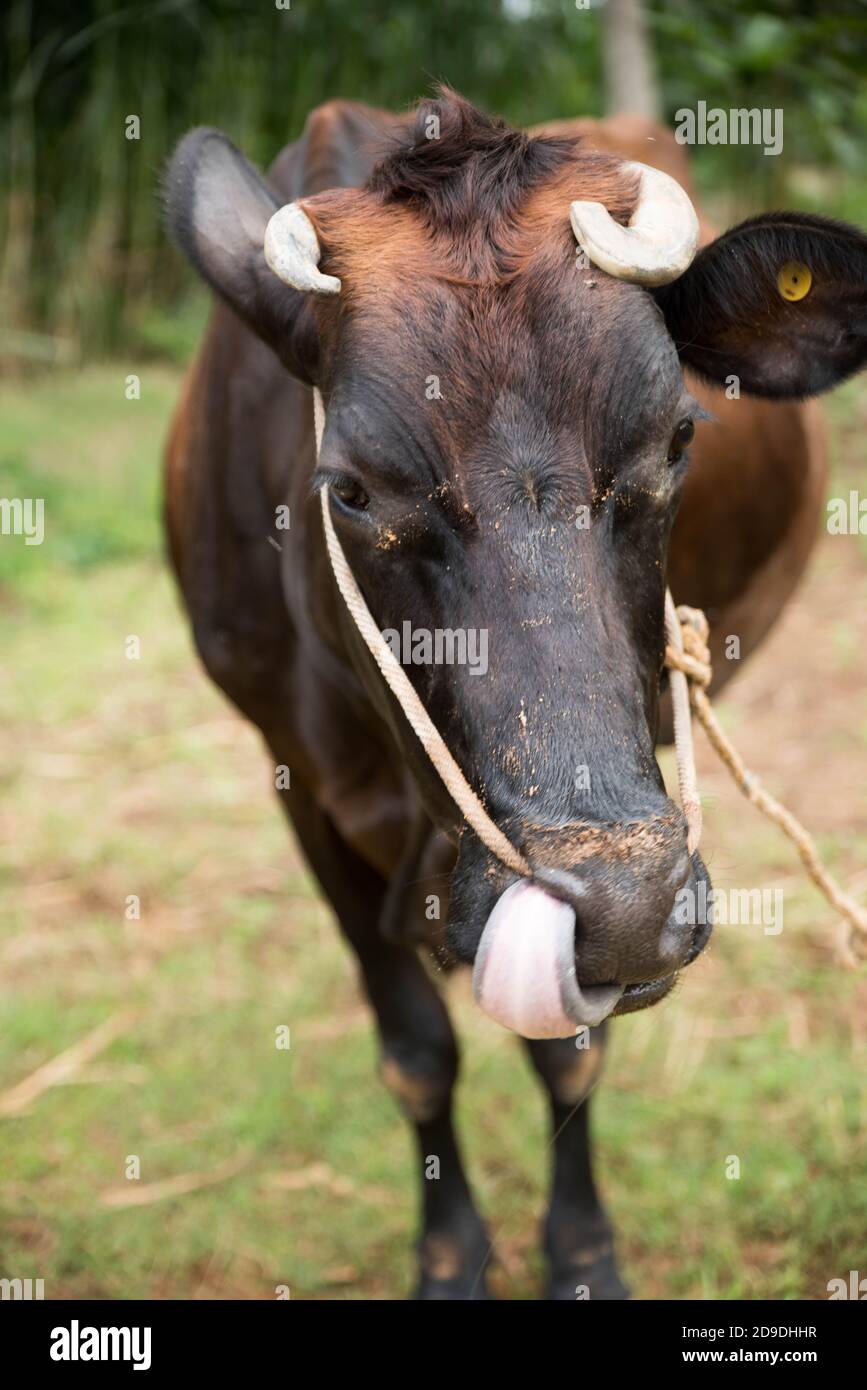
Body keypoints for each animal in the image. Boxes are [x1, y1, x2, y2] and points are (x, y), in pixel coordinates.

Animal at [162, 92, 867, 1295]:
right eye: (350, 489)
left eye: (677, 437)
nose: (624, 909)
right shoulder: (293, 776)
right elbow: (415, 1053)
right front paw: (450, 1252)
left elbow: (570, 1056)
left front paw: (579, 1250)